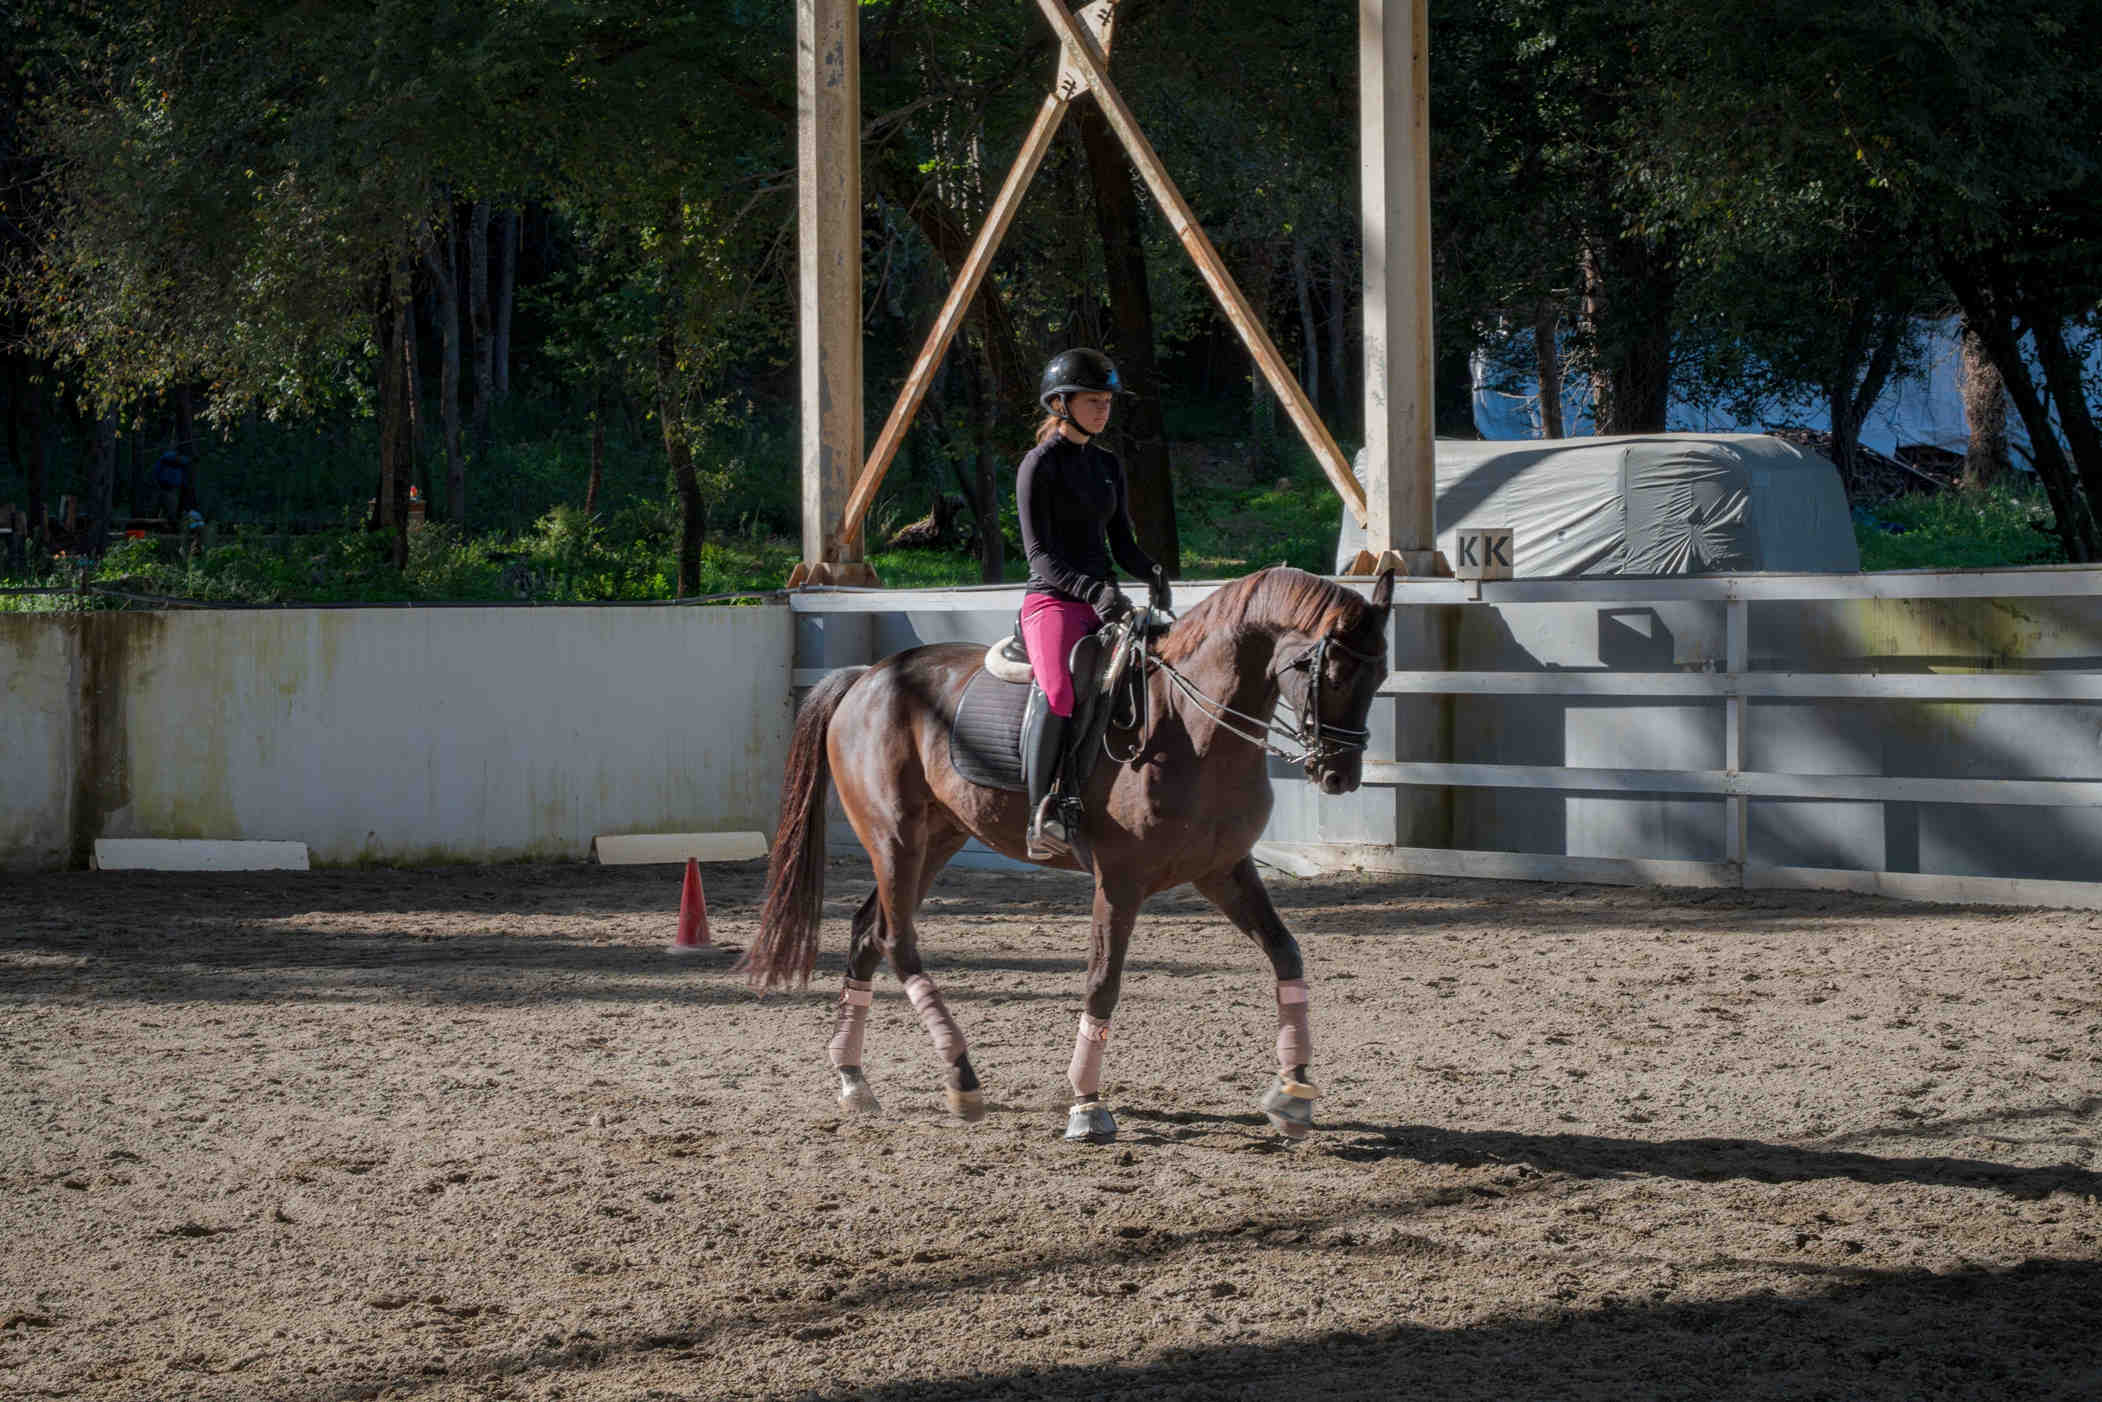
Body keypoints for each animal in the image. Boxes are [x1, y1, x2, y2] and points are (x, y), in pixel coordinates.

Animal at [737, 564, 1396, 1143]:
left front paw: (1294, 1092)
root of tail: (869, 675)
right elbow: (1102, 983)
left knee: (867, 934)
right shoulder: (1119, 881)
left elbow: (1287, 954)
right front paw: (1087, 1105)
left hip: (935, 842)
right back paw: (961, 1080)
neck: (1191, 726)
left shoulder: (1223, 871)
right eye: (1332, 673)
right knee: (899, 943)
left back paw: (853, 1079)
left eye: (1381, 675)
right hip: (895, 839)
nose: (1340, 776)